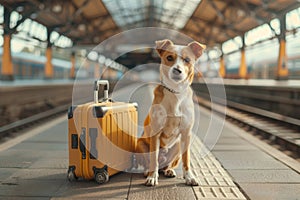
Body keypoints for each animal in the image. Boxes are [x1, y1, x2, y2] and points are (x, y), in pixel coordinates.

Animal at [137, 39, 205, 186]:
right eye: (169, 58)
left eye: (187, 60)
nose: (177, 70)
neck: (175, 92)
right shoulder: (155, 133)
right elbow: (153, 159)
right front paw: (152, 177)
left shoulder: (186, 134)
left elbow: (186, 159)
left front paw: (189, 177)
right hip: (140, 144)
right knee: (150, 162)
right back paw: (147, 172)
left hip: (178, 145)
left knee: (167, 165)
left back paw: (168, 171)